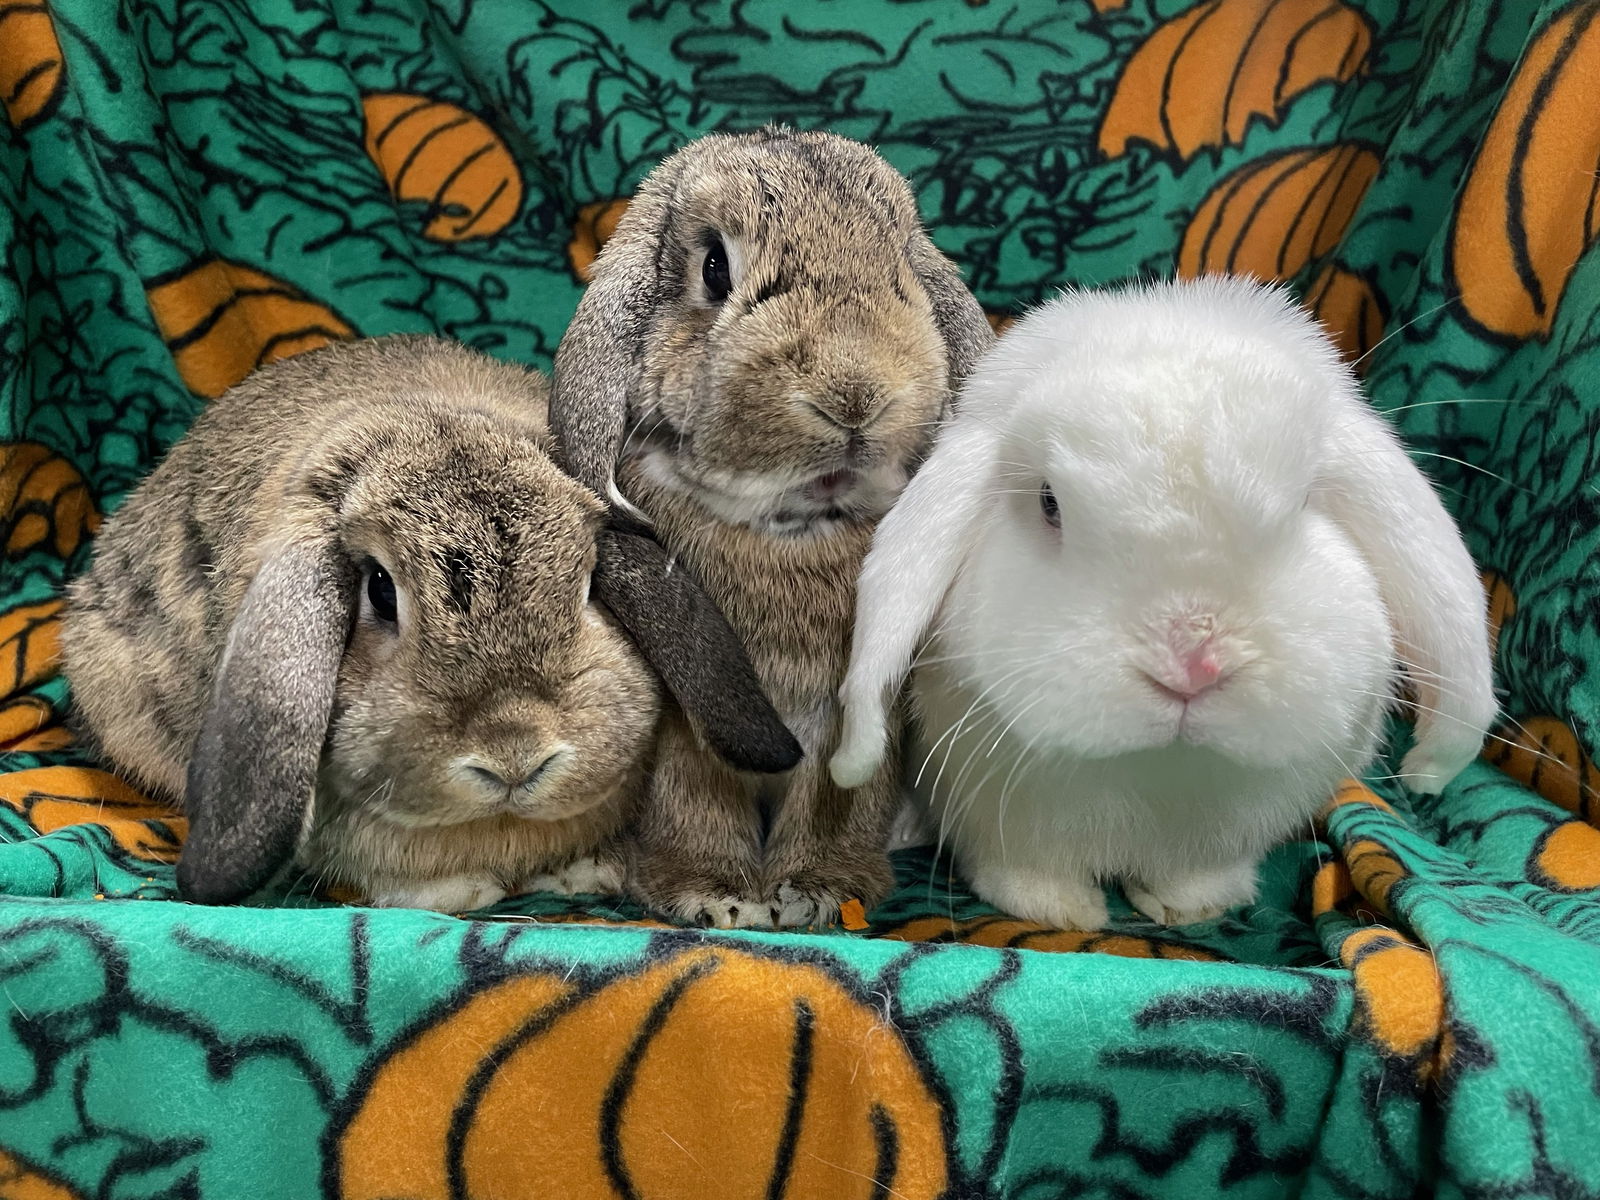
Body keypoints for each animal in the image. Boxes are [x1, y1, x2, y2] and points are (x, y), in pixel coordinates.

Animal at [556, 124, 992, 928]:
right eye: (714, 268)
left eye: (903, 272)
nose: (854, 396)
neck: (789, 527)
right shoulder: (686, 731)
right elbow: (695, 804)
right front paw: (714, 896)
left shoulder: (847, 716)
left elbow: (835, 801)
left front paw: (816, 891)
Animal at [832, 280, 1491, 928]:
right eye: (1050, 502)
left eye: (1305, 501)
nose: (1191, 664)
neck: (1159, 771)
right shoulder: (1004, 820)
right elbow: (1023, 870)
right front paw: (1062, 912)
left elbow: (1194, 877)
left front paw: (1193, 906)